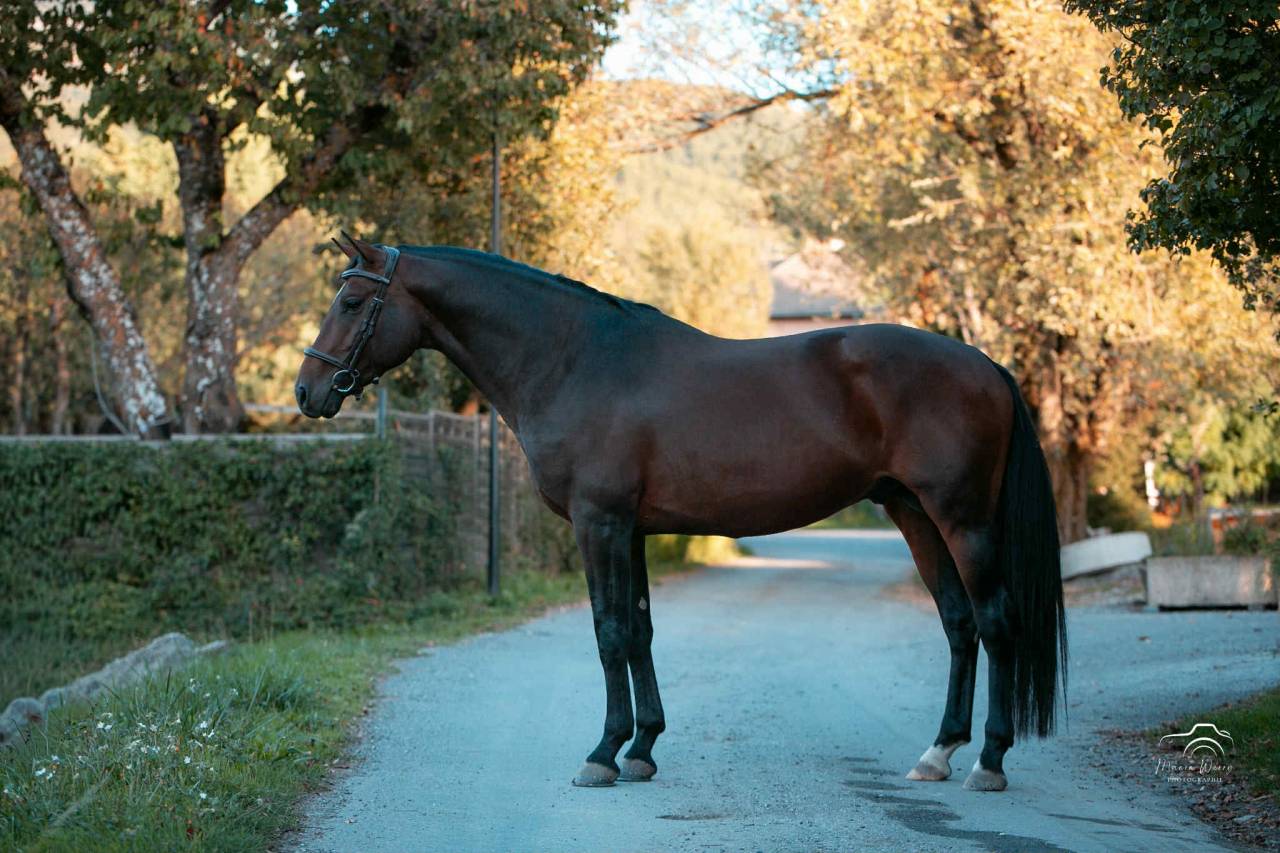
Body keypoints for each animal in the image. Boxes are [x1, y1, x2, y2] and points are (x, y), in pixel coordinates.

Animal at [295, 235, 1067, 792]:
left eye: (352, 300)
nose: (307, 391)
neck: (575, 359)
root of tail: (986, 366)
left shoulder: (599, 523)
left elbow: (609, 633)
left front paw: (602, 753)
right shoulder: (630, 528)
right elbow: (639, 631)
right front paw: (641, 748)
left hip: (962, 520)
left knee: (996, 623)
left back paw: (989, 761)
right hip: (913, 513)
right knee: (959, 624)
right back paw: (938, 752)